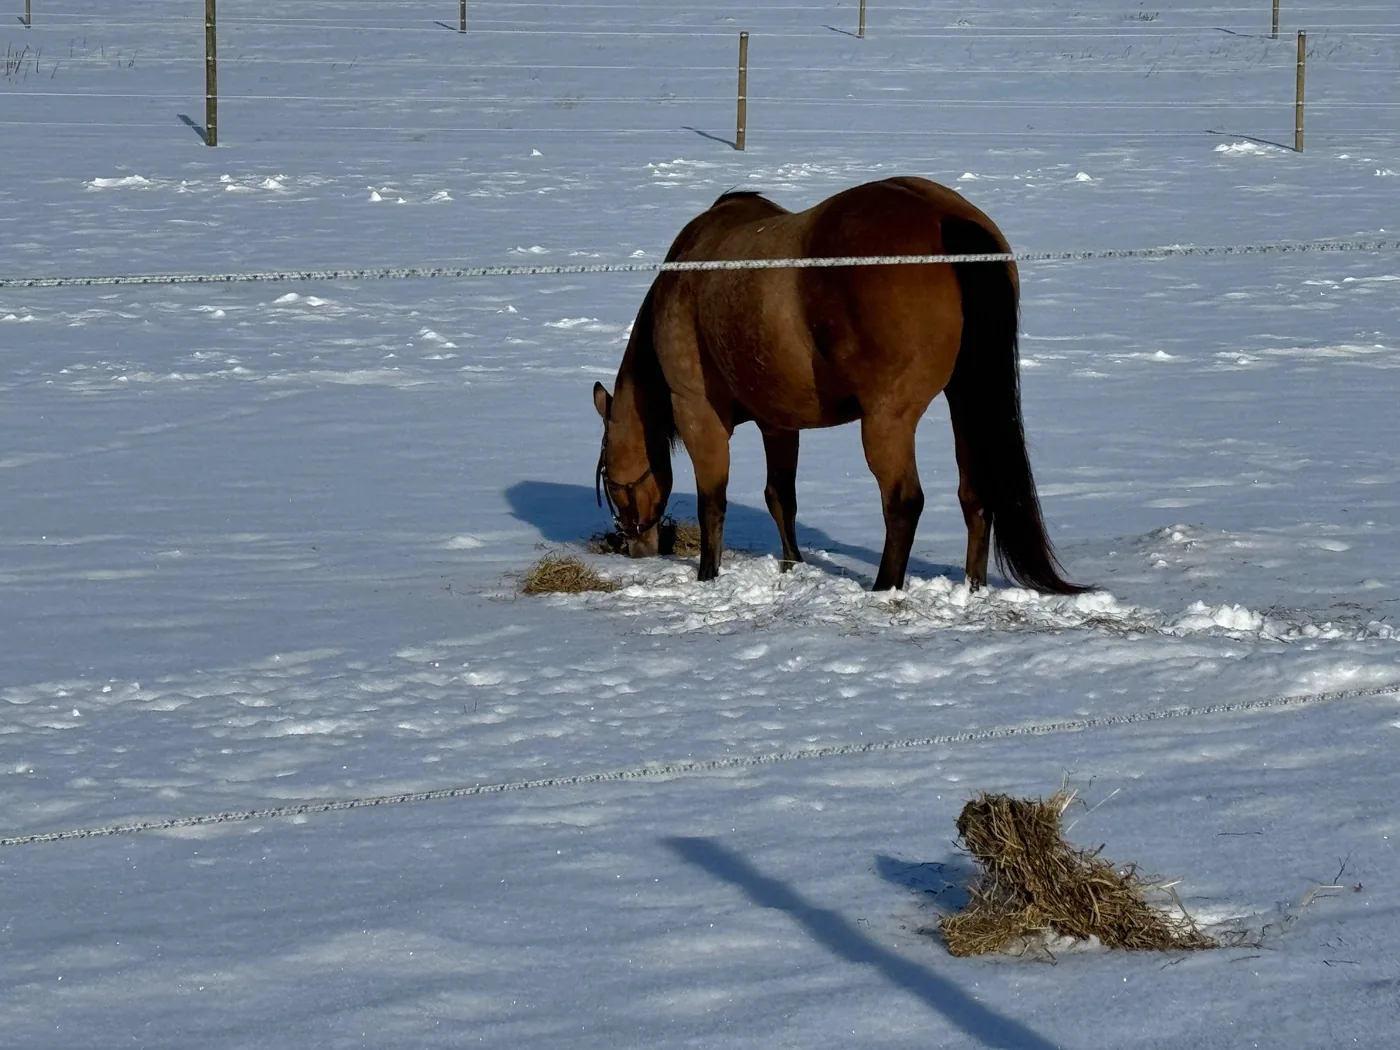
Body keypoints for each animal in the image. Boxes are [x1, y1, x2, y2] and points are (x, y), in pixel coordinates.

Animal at [592, 176, 1084, 594]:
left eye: (611, 481)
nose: (635, 547)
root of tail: (945, 218)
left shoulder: (698, 413)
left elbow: (713, 502)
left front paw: (707, 577)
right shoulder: (779, 424)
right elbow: (780, 498)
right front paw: (792, 564)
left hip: (888, 419)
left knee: (904, 502)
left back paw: (885, 587)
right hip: (965, 399)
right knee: (975, 494)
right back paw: (973, 587)